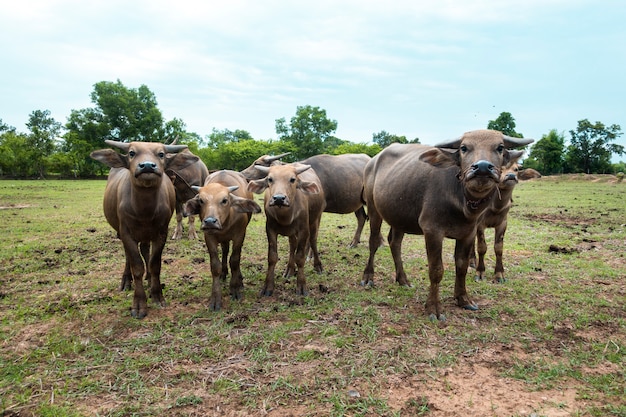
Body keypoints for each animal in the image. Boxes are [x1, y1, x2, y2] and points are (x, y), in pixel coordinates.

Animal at [90, 138, 196, 316]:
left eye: (161, 154)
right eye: (132, 153)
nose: (147, 166)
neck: (144, 210)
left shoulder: (161, 233)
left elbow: (155, 264)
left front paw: (157, 295)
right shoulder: (126, 233)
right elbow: (136, 266)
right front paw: (139, 304)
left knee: (146, 250)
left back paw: (148, 279)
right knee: (129, 257)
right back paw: (126, 281)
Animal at [182, 168, 260, 308]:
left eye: (224, 200)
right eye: (201, 200)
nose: (210, 222)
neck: (225, 223)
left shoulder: (239, 235)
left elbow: (234, 261)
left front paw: (235, 289)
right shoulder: (209, 237)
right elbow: (215, 266)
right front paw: (215, 298)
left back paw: (239, 280)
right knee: (224, 251)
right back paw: (224, 273)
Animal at [247, 162, 324, 296]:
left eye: (292, 179)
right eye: (270, 179)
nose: (279, 198)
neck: (285, 216)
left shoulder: (303, 230)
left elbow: (300, 257)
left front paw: (301, 285)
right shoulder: (270, 229)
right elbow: (272, 257)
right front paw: (268, 286)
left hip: (315, 219)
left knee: (313, 240)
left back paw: (318, 265)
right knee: (292, 244)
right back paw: (290, 269)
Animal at [360, 129, 532, 318]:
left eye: (500, 147)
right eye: (464, 148)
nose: (482, 167)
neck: (462, 202)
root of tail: (372, 162)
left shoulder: (469, 232)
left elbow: (462, 266)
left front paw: (463, 299)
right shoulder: (433, 231)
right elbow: (436, 270)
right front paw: (434, 308)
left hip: (399, 216)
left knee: (394, 243)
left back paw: (403, 279)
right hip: (373, 209)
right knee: (374, 242)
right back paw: (368, 278)